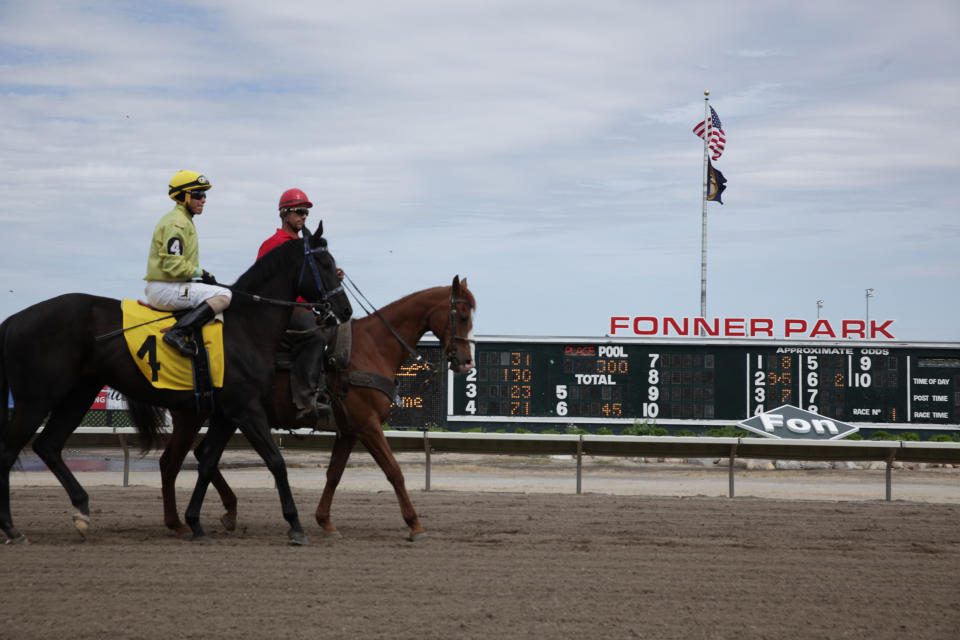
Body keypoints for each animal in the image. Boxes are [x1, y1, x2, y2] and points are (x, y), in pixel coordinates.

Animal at [0, 222, 352, 544]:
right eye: (325, 264)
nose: (344, 309)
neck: (246, 327)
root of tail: (14, 319)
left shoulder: (227, 412)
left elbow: (208, 461)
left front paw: (195, 521)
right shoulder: (246, 409)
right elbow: (275, 462)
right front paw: (295, 525)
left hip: (79, 394)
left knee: (49, 445)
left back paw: (83, 511)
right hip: (36, 399)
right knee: (10, 450)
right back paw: (12, 529)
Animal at [161, 276, 476, 540]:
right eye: (462, 316)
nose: (466, 362)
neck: (372, 347)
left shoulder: (349, 430)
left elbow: (334, 474)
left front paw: (325, 521)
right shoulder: (368, 425)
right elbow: (393, 471)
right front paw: (415, 525)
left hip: (223, 417)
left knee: (200, 455)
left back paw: (225, 511)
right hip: (194, 417)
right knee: (171, 461)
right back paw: (178, 522)